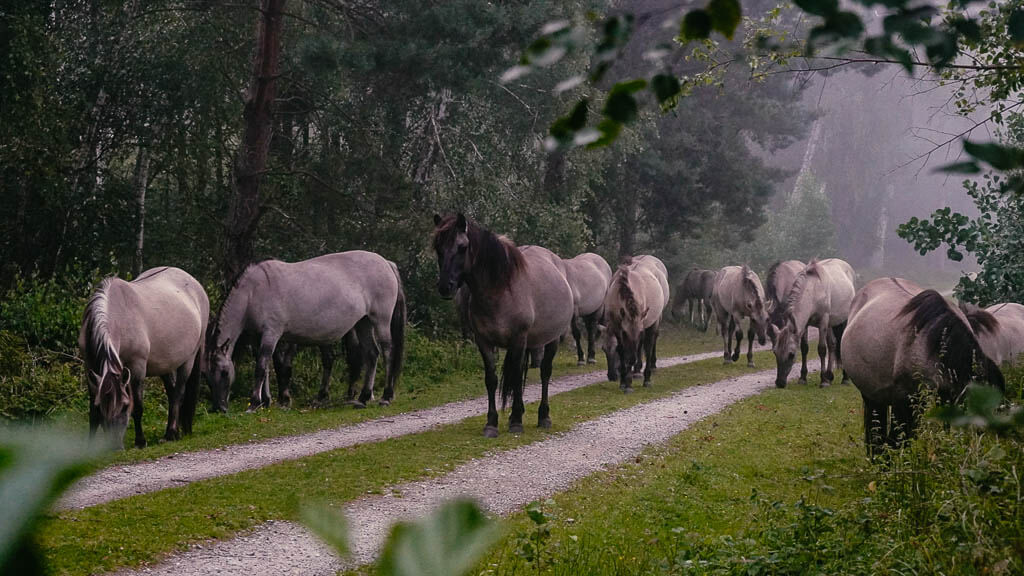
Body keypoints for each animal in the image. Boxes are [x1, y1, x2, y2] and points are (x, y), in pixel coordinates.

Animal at [79, 267, 208, 449]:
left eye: (125, 406)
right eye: (100, 406)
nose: (115, 446)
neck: (118, 315)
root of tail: (195, 284)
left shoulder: (137, 367)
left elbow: (138, 407)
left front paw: (140, 441)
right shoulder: (90, 367)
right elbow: (92, 412)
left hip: (188, 360)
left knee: (178, 393)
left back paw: (171, 433)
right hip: (165, 364)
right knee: (171, 392)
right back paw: (173, 432)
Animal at [207, 251, 406, 411]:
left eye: (224, 373)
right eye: (207, 376)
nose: (219, 408)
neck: (254, 291)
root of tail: (386, 263)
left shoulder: (271, 333)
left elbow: (262, 366)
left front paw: (255, 402)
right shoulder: (258, 337)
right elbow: (266, 367)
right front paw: (266, 401)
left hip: (380, 321)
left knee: (387, 352)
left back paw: (386, 396)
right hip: (363, 323)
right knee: (372, 354)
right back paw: (363, 398)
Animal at [433, 213, 573, 437]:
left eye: (462, 247)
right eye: (438, 248)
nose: (445, 287)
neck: (500, 289)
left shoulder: (518, 339)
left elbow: (515, 377)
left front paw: (516, 421)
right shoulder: (483, 341)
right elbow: (491, 379)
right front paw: (491, 423)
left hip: (552, 340)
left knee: (545, 372)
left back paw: (543, 416)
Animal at [601, 255, 669, 392]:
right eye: (603, 349)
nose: (611, 376)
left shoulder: (640, 326)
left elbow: (640, 346)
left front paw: (631, 377)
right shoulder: (618, 327)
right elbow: (623, 350)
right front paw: (624, 382)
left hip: (655, 320)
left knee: (649, 345)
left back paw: (647, 375)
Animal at [771, 258, 856, 388]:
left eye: (791, 354)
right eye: (775, 353)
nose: (780, 383)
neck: (813, 290)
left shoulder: (823, 322)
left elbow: (822, 349)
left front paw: (823, 380)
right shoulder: (805, 325)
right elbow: (804, 348)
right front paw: (803, 378)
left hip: (843, 320)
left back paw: (844, 378)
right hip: (830, 324)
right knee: (832, 344)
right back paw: (830, 375)